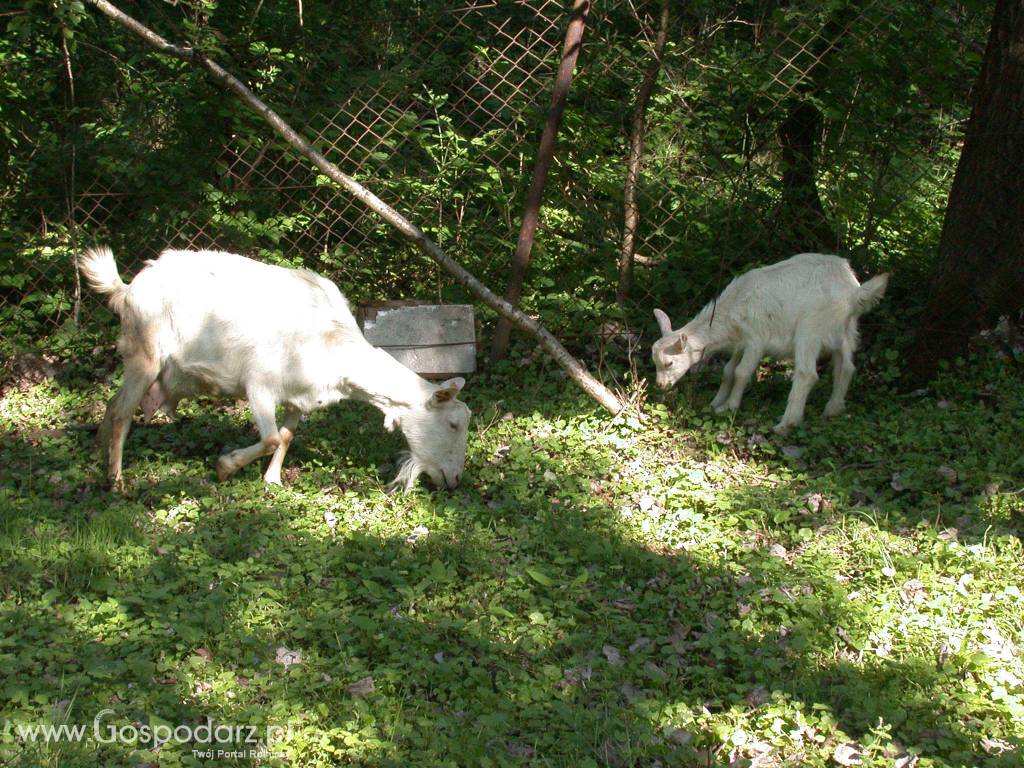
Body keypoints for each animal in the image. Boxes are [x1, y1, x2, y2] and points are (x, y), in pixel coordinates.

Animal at [78, 246, 471, 489]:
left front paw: (273, 481)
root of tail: (128, 287)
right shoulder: (259, 386)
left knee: (114, 404)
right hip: (144, 354)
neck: (333, 346)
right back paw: (116, 480)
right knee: (123, 413)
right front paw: (225, 467)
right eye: (452, 424)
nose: (454, 480)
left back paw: (96, 454)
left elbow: (285, 436)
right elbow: (269, 438)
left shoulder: (301, 398)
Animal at [655, 252, 888, 434]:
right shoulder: (741, 343)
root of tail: (853, 292)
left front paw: (729, 407)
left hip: (810, 329)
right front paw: (715, 402)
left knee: (807, 374)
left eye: (669, 363)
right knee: (845, 367)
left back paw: (786, 424)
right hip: (847, 331)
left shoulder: (756, 339)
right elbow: (728, 371)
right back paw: (833, 410)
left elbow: (741, 372)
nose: (660, 386)